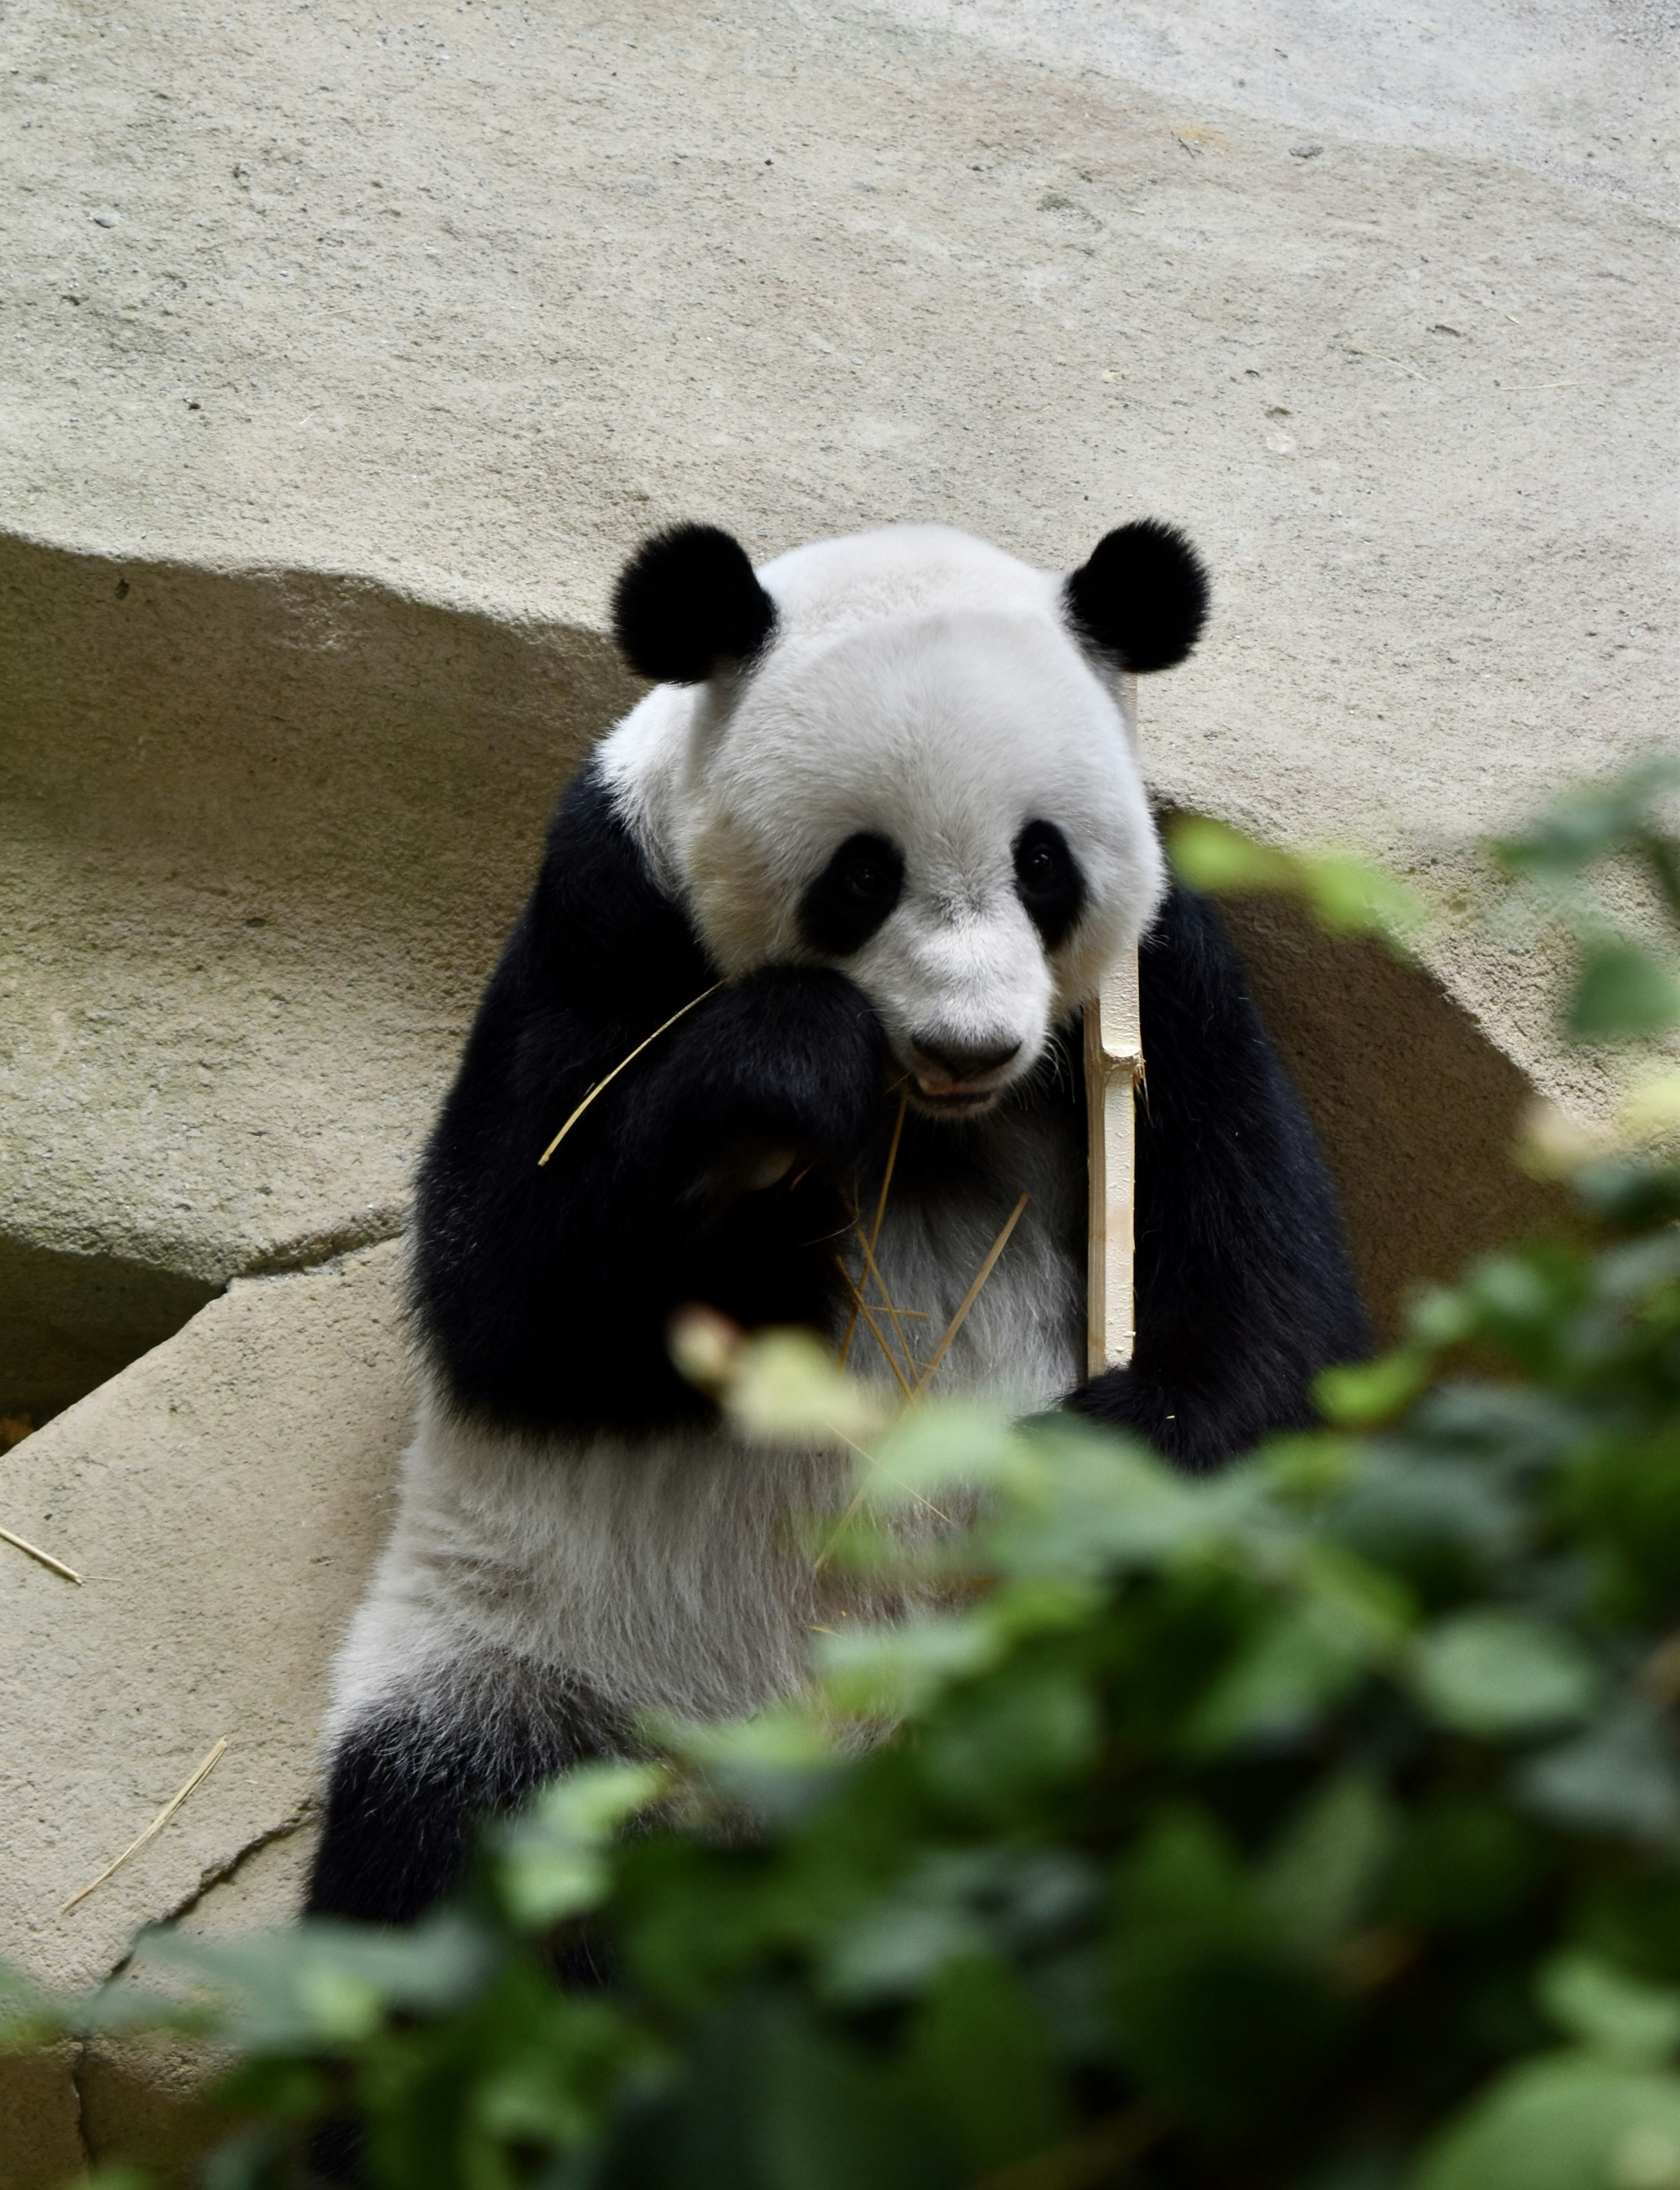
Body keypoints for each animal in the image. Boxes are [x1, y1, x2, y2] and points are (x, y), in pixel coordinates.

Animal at [304, 519, 1368, 1930]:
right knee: (443, 1867)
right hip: (527, 1681)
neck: (935, 1121)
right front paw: (781, 1095)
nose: (969, 1046)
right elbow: (514, 1290)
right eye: (863, 874)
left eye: (1041, 862)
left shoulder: (1173, 993)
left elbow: (1279, 1311)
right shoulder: (605, 909)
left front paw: (1090, 1464)